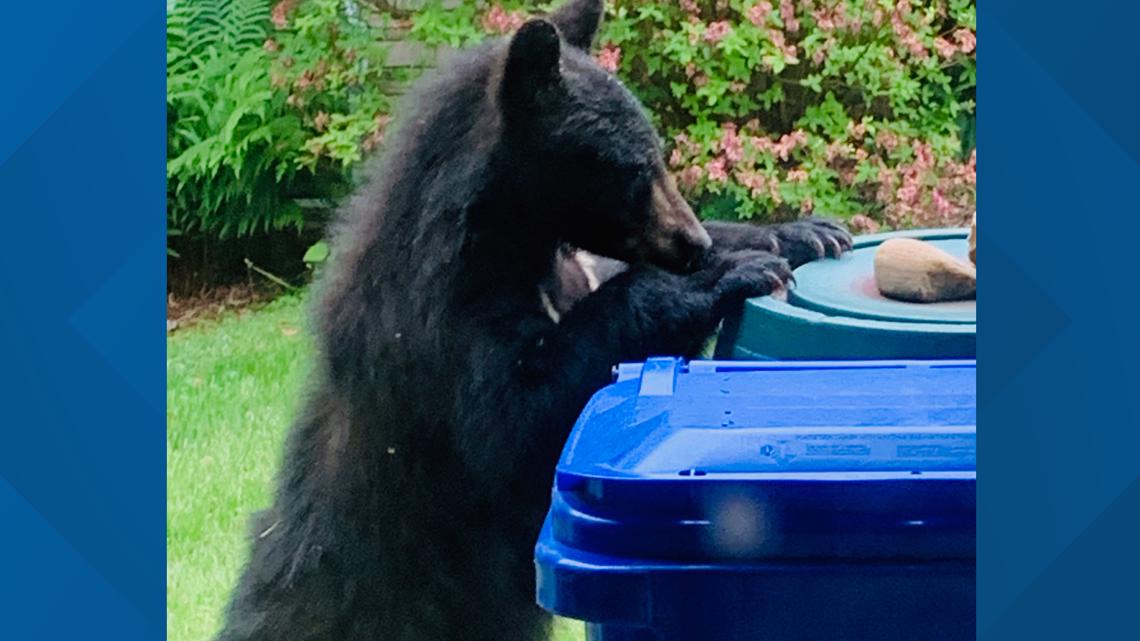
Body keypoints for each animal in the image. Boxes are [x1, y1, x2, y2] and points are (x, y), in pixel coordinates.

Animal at [213, 2, 851, 640]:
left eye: (659, 154)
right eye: (633, 168)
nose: (692, 243)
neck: (517, 242)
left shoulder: (573, 266)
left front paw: (800, 233)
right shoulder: (439, 329)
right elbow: (513, 418)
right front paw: (723, 273)